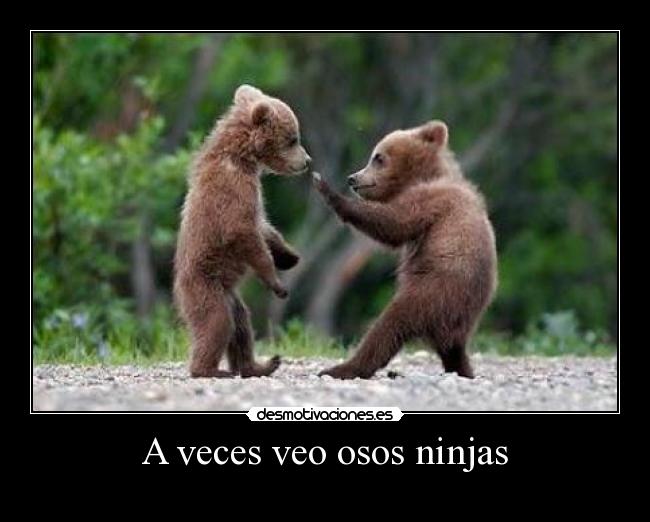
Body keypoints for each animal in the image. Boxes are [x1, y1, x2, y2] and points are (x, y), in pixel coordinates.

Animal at [174, 84, 311, 378]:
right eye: (293, 139)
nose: (307, 160)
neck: (243, 158)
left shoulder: (253, 195)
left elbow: (264, 227)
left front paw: (289, 256)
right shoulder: (233, 190)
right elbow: (243, 232)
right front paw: (277, 283)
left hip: (231, 296)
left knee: (241, 327)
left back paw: (259, 365)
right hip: (205, 287)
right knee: (217, 323)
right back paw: (210, 370)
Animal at [312, 120, 497, 379]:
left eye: (378, 157)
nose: (352, 178)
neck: (423, 176)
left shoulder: (431, 200)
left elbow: (394, 223)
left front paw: (326, 188)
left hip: (433, 291)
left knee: (389, 325)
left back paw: (342, 368)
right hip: (455, 313)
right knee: (452, 349)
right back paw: (462, 369)